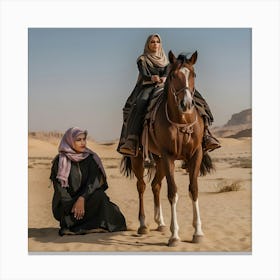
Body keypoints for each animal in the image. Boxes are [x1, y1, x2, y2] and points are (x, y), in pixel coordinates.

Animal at [121, 50, 214, 247]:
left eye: (193, 74)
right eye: (172, 75)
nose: (186, 104)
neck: (182, 120)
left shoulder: (196, 154)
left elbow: (194, 190)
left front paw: (198, 233)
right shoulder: (169, 155)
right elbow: (172, 192)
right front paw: (175, 236)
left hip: (158, 159)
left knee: (155, 185)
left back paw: (161, 223)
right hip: (139, 157)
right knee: (141, 186)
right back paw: (143, 225)